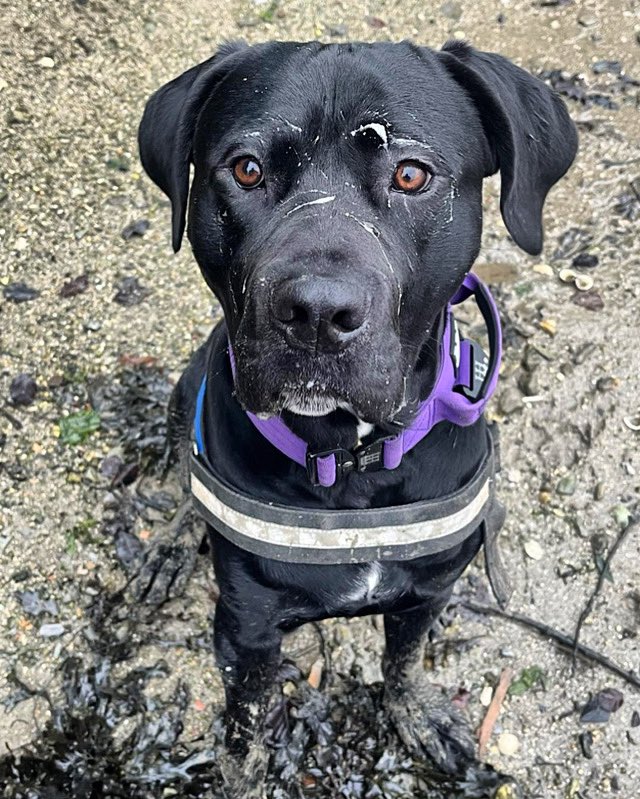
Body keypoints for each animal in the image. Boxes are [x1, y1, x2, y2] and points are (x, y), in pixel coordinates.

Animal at [138, 40, 576, 796]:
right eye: (246, 169)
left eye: (411, 173)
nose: (316, 312)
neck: (352, 462)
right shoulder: (246, 629)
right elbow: (246, 728)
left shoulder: (427, 592)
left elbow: (404, 659)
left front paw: (413, 711)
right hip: (185, 383)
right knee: (181, 468)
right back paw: (168, 543)